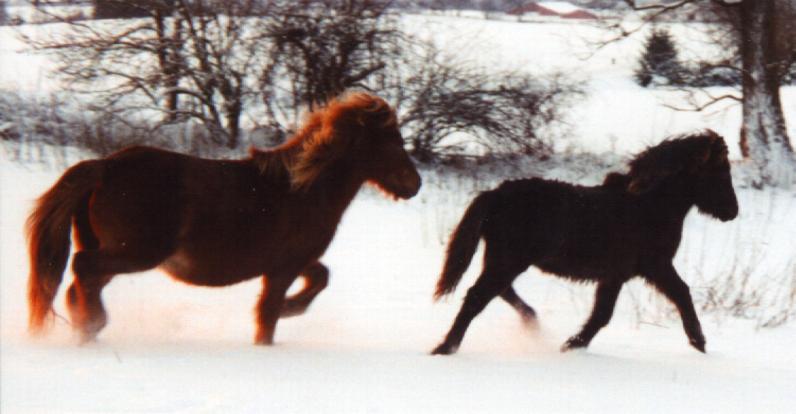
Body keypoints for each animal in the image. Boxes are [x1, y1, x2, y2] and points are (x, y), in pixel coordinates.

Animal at [27, 92, 422, 344]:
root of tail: (105, 167)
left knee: (81, 281)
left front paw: (292, 309)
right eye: (393, 140)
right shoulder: (283, 268)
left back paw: (88, 330)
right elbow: (267, 316)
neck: (303, 188)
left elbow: (321, 277)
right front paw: (282, 319)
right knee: (82, 269)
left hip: (117, 252)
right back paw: (91, 325)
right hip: (137, 252)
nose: (414, 184)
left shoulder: (295, 260)